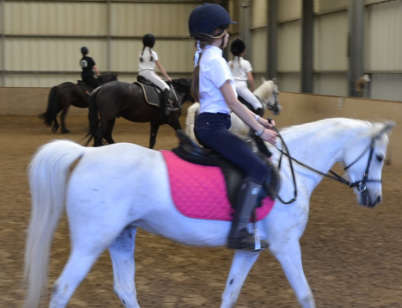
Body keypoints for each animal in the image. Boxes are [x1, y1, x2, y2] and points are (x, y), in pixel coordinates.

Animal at [24, 118, 392, 308]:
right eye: (379, 157)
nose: (374, 198)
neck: (291, 171)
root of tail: (86, 154)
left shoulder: (250, 249)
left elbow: (230, 292)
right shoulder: (287, 245)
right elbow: (305, 294)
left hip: (121, 236)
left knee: (125, 289)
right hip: (92, 240)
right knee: (63, 289)